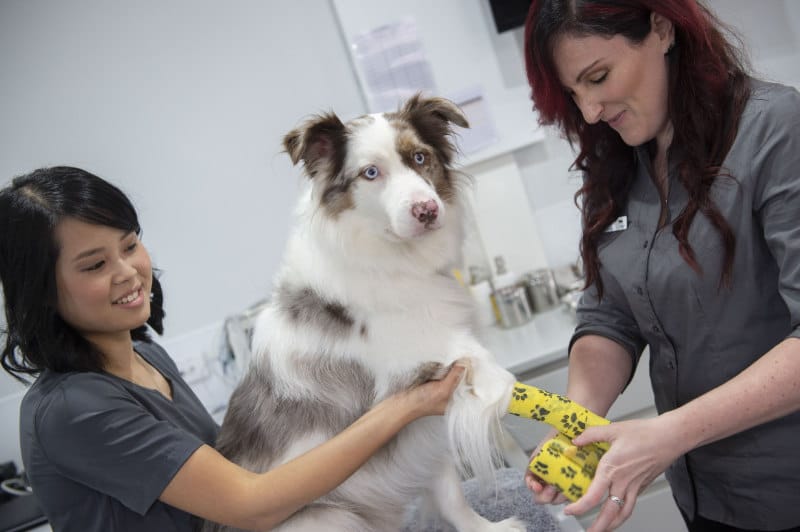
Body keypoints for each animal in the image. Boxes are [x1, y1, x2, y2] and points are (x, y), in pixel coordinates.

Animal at [203, 96, 520, 532]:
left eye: (420, 157)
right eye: (371, 173)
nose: (427, 210)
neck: (390, 257)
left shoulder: (421, 430)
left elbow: (452, 496)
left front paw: (488, 527)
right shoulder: (417, 358)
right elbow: (490, 371)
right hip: (327, 517)